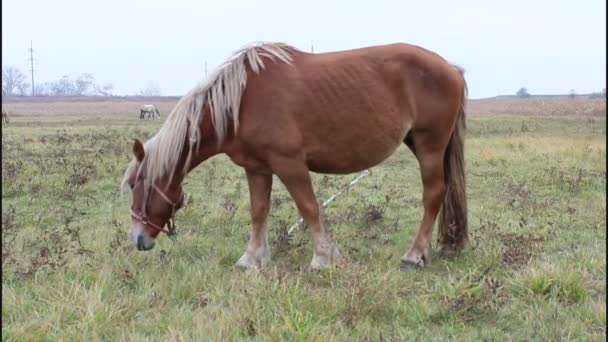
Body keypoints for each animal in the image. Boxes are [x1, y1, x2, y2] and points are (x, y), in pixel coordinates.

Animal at [121, 41, 468, 270]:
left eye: (135, 185)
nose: (137, 239)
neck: (239, 103)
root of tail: (450, 67)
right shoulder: (257, 169)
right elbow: (258, 211)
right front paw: (252, 258)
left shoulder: (290, 165)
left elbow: (310, 208)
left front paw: (323, 258)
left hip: (429, 146)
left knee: (433, 195)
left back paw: (414, 255)